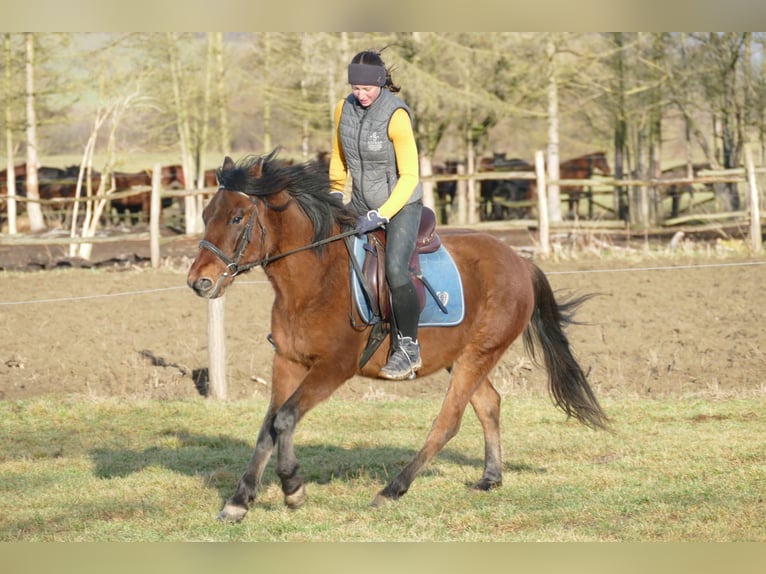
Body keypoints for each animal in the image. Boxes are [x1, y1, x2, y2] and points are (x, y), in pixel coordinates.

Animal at [188, 153, 612, 528]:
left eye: (237, 217)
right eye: (207, 216)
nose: (198, 282)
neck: (315, 280)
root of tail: (521, 261)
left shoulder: (333, 368)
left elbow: (286, 419)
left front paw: (292, 487)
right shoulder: (288, 362)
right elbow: (268, 427)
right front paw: (239, 501)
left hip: (479, 354)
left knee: (449, 421)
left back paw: (392, 490)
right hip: (461, 356)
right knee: (489, 404)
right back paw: (491, 477)